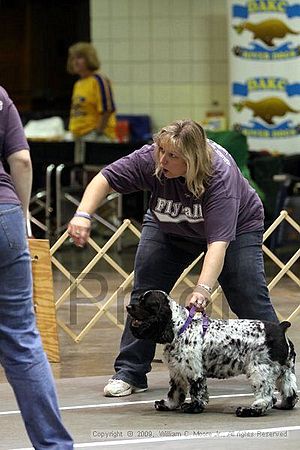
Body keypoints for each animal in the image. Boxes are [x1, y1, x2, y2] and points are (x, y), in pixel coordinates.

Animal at [126, 290, 298, 416]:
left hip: (260, 370)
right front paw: (168, 405)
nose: (128, 307)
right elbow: (175, 392)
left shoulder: (194, 371)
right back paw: (284, 405)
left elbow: (197, 392)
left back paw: (248, 410)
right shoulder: (177, 372)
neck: (180, 328)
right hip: (285, 370)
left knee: (267, 398)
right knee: (290, 392)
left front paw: (193, 407)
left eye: (145, 303)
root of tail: (280, 328)